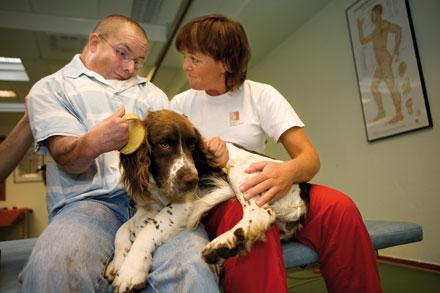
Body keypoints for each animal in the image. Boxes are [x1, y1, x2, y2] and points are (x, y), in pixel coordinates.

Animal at [105, 108, 310, 290]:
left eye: (192, 145)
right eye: (164, 144)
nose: (193, 180)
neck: (159, 185)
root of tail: (302, 189)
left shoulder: (184, 204)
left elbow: (149, 229)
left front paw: (131, 270)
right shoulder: (149, 207)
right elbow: (123, 229)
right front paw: (118, 263)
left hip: (240, 171)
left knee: (260, 212)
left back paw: (224, 243)